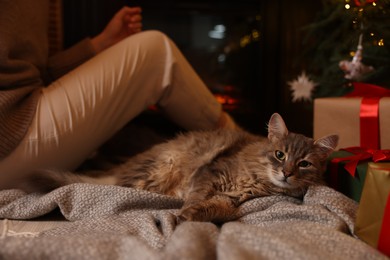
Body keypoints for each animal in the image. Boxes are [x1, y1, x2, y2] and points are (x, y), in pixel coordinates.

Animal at [18, 114, 336, 223]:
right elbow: (197, 196)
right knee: (119, 187)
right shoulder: (210, 174)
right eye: (280, 155)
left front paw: (189, 216)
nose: (287, 173)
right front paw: (183, 211)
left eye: (304, 164)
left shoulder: (228, 199)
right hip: (160, 167)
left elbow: (213, 209)